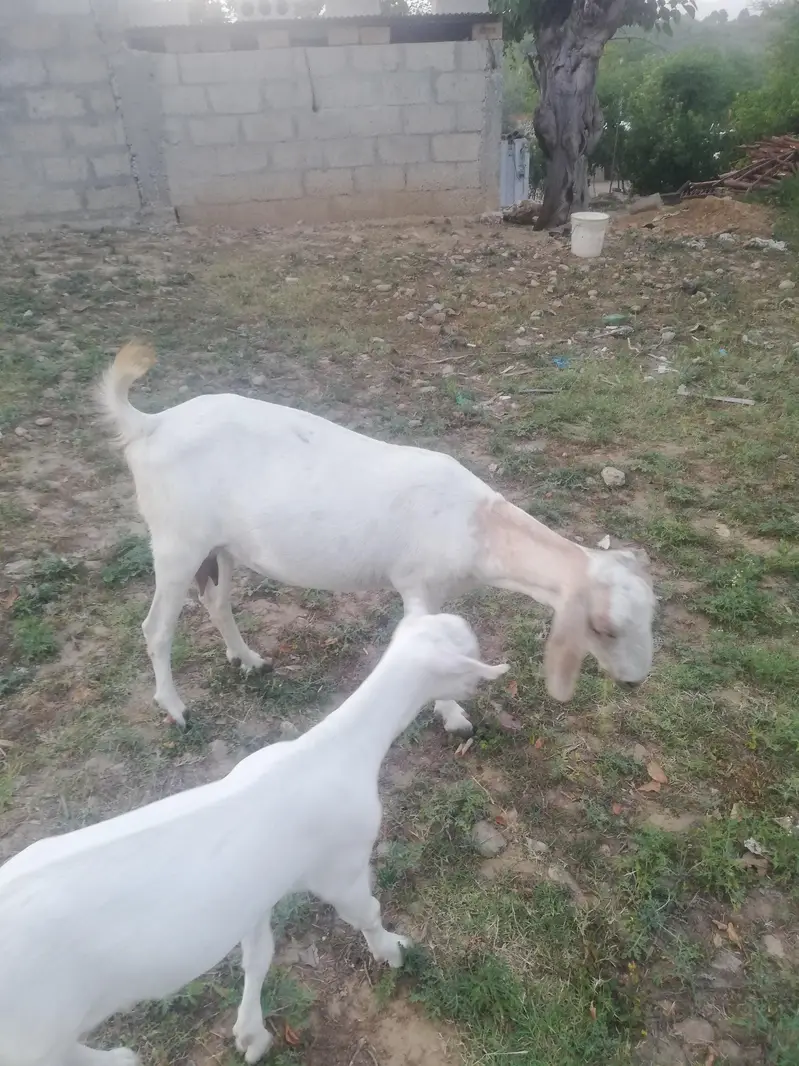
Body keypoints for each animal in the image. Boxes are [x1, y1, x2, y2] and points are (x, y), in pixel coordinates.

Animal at [0, 613, 507, 1066]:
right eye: (468, 652)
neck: (331, 750)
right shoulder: (340, 867)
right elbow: (368, 912)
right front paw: (393, 950)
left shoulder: (255, 891)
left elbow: (259, 955)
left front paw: (251, 1034)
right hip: (38, 1030)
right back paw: (120, 1059)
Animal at [100, 342, 655, 730]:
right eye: (603, 629)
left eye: (652, 614)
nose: (634, 681)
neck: (475, 523)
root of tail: (149, 424)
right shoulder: (417, 584)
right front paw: (453, 716)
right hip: (175, 541)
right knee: (156, 628)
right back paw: (175, 709)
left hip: (220, 545)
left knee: (216, 601)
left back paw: (250, 660)